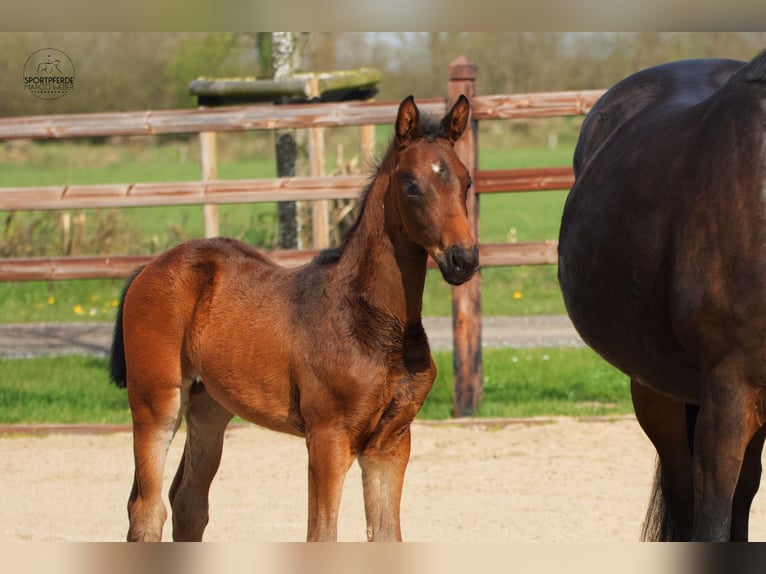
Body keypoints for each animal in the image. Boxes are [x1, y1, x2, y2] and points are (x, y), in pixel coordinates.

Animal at [109, 95, 479, 542]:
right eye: (410, 184)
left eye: (466, 181)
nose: (464, 258)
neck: (373, 323)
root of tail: (149, 268)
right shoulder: (327, 437)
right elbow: (321, 534)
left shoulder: (391, 443)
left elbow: (387, 536)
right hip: (156, 403)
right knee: (147, 510)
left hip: (209, 406)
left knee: (189, 501)